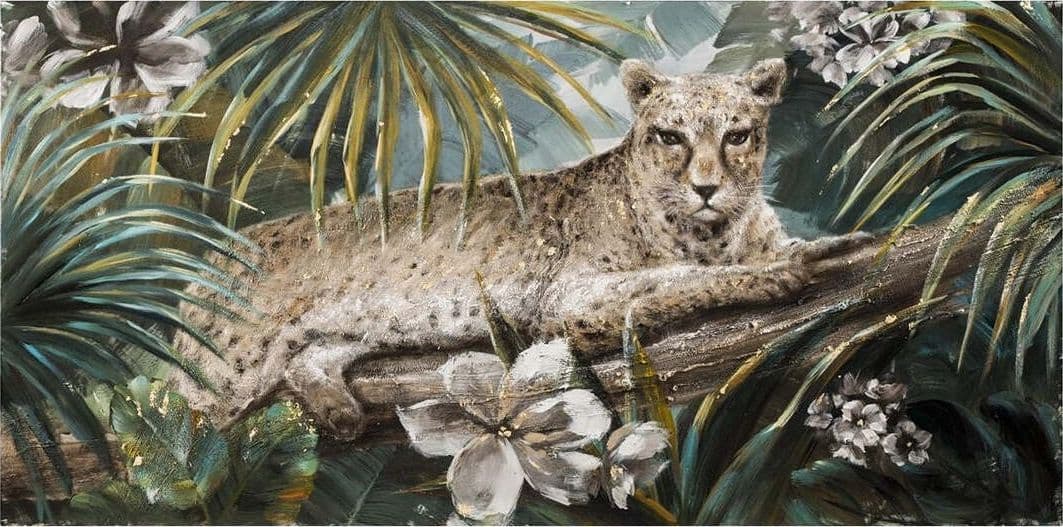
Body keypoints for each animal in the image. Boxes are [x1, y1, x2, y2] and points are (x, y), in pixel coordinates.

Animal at [172, 58, 870, 441]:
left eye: (739, 135)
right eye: (671, 136)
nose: (705, 187)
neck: (716, 231)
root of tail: (217, 252)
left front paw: (826, 244)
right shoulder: (569, 301)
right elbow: (678, 282)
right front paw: (787, 270)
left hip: (349, 334)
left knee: (308, 359)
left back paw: (339, 411)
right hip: (219, 381)